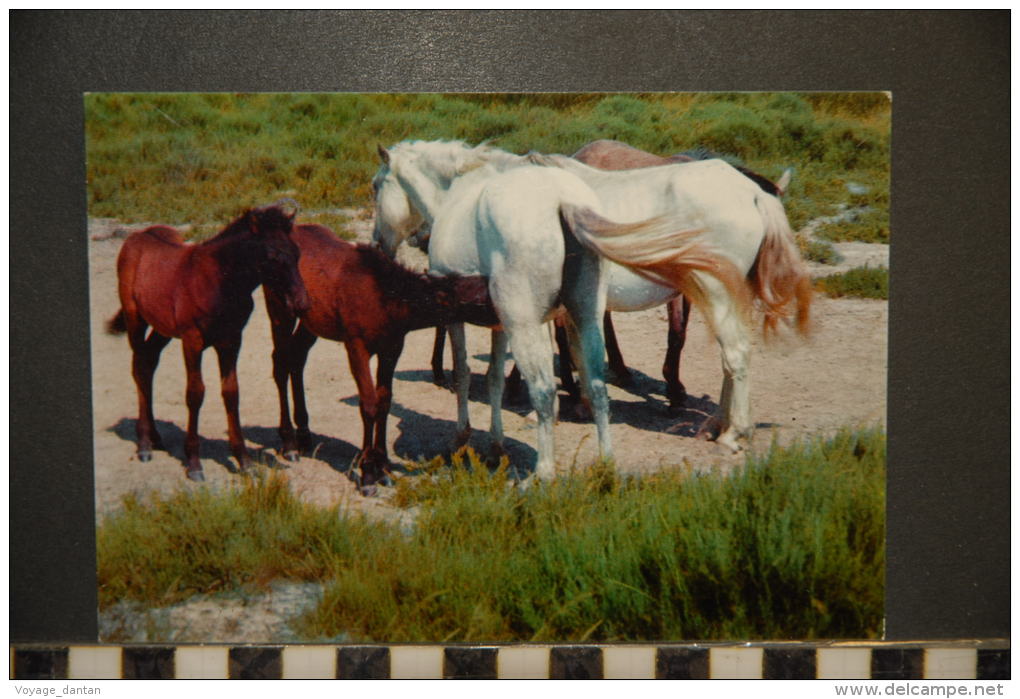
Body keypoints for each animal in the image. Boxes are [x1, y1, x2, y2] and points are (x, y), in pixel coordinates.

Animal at [107, 202, 308, 479]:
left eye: (297, 252)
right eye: (271, 255)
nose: (301, 303)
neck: (218, 282)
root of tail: (136, 236)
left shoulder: (231, 340)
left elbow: (231, 392)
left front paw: (244, 460)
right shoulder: (192, 341)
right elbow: (195, 393)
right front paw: (194, 463)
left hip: (162, 329)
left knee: (148, 364)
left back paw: (155, 438)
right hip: (135, 319)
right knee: (139, 369)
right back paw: (144, 445)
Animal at [263, 226, 497, 493]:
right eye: (484, 300)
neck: (387, 298)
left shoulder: (391, 348)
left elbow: (384, 403)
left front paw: (382, 467)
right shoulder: (356, 347)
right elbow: (369, 405)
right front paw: (367, 473)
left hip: (311, 322)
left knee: (297, 358)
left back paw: (303, 432)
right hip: (280, 310)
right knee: (281, 363)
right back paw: (289, 442)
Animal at [371, 141, 746, 479]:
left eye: (376, 186)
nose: (378, 243)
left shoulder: (464, 319)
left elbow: (463, 373)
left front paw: (462, 439)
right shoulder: (501, 325)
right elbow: (494, 378)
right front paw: (496, 445)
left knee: (545, 390)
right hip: (589, 314)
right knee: (600, 383)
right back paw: (612, 459)